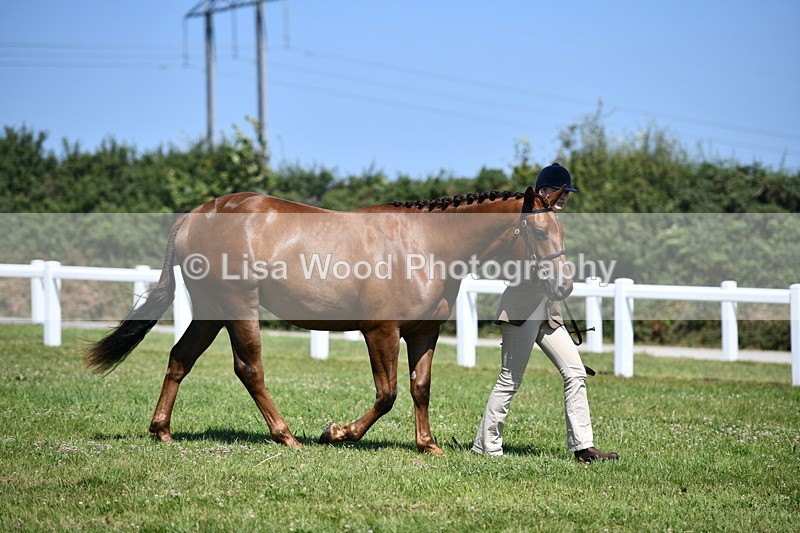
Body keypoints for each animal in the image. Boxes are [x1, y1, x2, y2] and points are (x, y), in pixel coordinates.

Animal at [85, 185, 572, 455]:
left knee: (179, 358)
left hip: (209, 311)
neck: (426, 245)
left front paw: (428, 445)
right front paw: (337, 433)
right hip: (238, 306)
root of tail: (194, 216)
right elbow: (387, 394)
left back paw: (163, 431)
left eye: (560, 230)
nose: (564, 286)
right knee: (249, 368)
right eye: (539, 231)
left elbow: (420, 388)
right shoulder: (380, 331)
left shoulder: (424, 333)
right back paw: (286, 437)